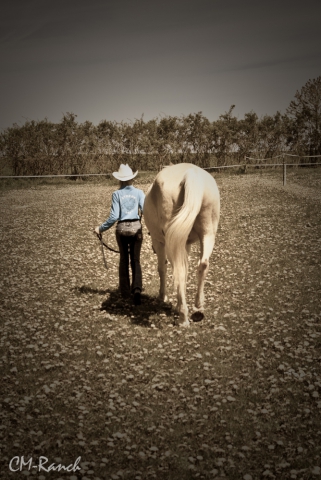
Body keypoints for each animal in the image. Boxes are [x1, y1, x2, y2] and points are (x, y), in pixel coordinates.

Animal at [144, 162, 219, 326]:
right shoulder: (185, 244)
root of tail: (191, 174)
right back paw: (198, 305)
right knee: (203, 264)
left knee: (178, 271)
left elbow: (162, 269)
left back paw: (183, 317)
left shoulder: (160, 243)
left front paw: (163, 296)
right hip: (208, 233)